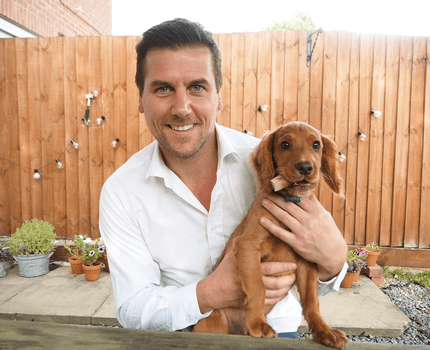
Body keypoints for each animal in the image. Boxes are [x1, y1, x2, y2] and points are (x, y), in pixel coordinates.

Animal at [193, 121, 348, 348]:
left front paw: (324, 330)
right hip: (215, 323)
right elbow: (258, 287)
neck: (291, 201)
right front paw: (258, 323)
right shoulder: (248, 246)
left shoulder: (306, 261)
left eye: (316, 145)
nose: (306, 167)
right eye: (285, 145)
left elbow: (312, 301)